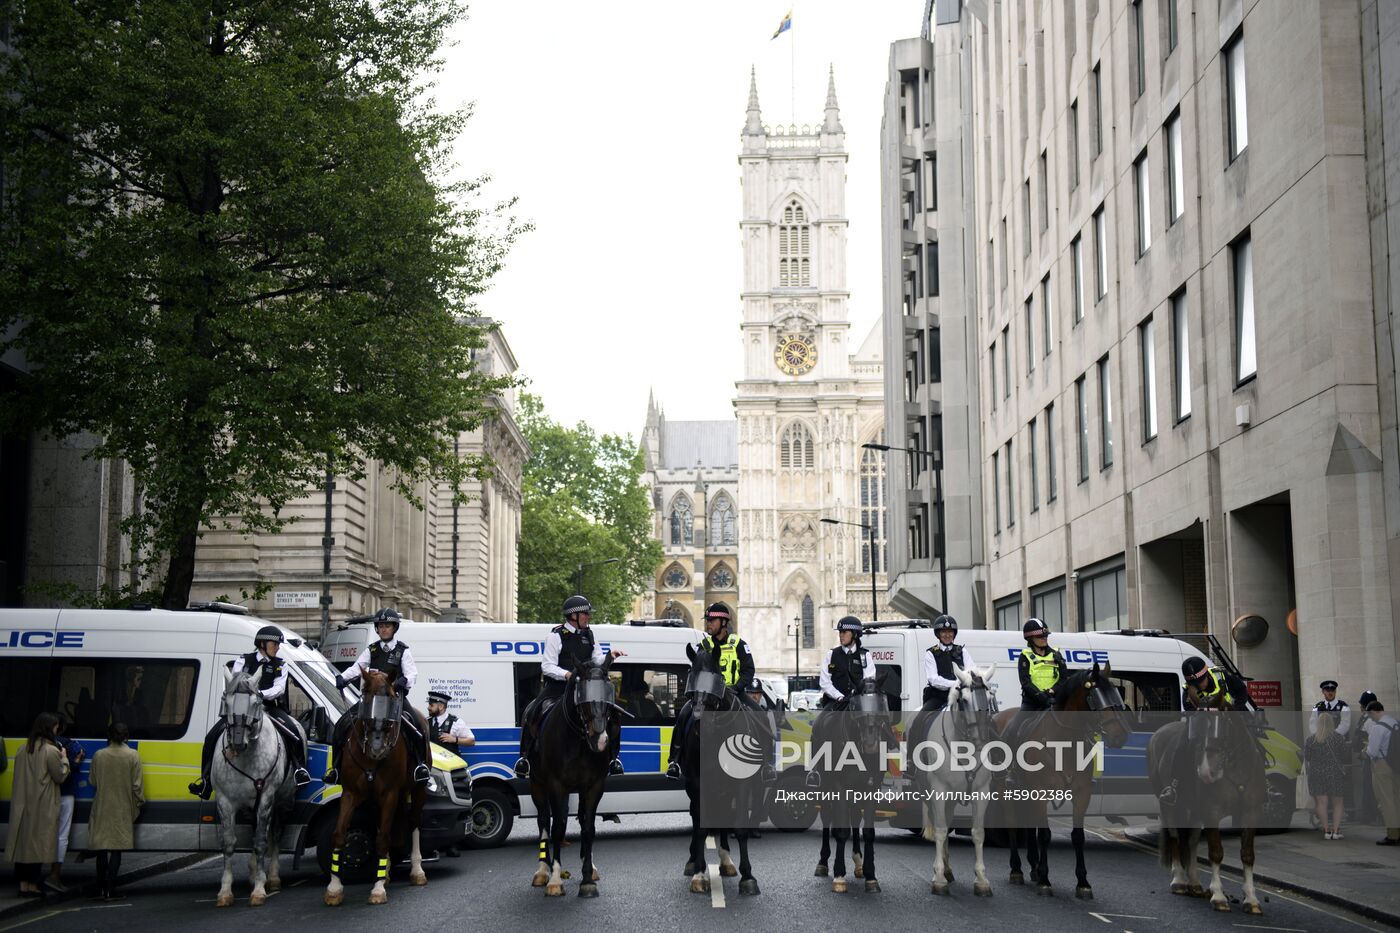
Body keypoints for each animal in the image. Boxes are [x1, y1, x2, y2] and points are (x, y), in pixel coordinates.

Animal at [210, 669, 301, 902]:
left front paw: (260, 888)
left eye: (255, 702)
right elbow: (229, 843)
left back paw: (273, 877)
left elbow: (261, 842)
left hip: (283, 801)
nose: (237, 742)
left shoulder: (266, 798)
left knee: (275, 834)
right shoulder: (224, 801)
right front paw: (225, 890)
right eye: (226, 700)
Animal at [322, 664, 425, 902]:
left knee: (413, 823)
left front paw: (377, 889)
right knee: (382, 826)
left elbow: (383, 838)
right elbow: (339, 835)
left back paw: (417, 871)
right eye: (366, 694)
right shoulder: (351, 793)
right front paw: (334, 888)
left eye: (391, 696)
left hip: (417, 790)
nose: (377, 747)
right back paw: (385, 872)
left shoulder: (389, 793)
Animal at [912, 661, 1002, 896]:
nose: (981, 740)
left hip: (952, 799)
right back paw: (942, 871)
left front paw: (981, 880)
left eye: (989, 697)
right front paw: (938, 879)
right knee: (940, 825)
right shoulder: (938, 791)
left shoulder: (982, 793)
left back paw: (948, 869)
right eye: (964, 700)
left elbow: (978, 833)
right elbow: (941, 830)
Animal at [991, 661, 1131, 896]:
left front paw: (1082, 882)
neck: (1065, 741)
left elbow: (1077, 836)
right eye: (1095, 696)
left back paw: (1033, 867)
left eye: (1115, 693)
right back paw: (1017, 869)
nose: (1119, 736)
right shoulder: (1040, 791)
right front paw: (1045, 880)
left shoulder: (1082, 793)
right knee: (1012, 822)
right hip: (1005, 787)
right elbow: (1045, 835)